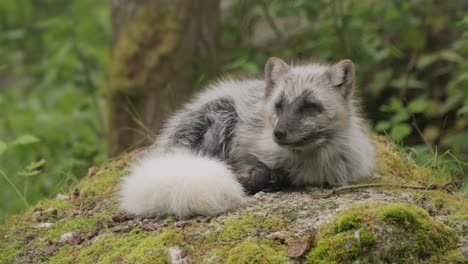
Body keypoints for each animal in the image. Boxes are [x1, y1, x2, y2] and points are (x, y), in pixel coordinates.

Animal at [118, 57, 376, 217]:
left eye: (309, 106)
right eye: (279, 106)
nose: (278, 133)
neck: (308, 163)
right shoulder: (246, 153)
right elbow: (259, 171)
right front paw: (254, 179)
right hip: (222, 114)